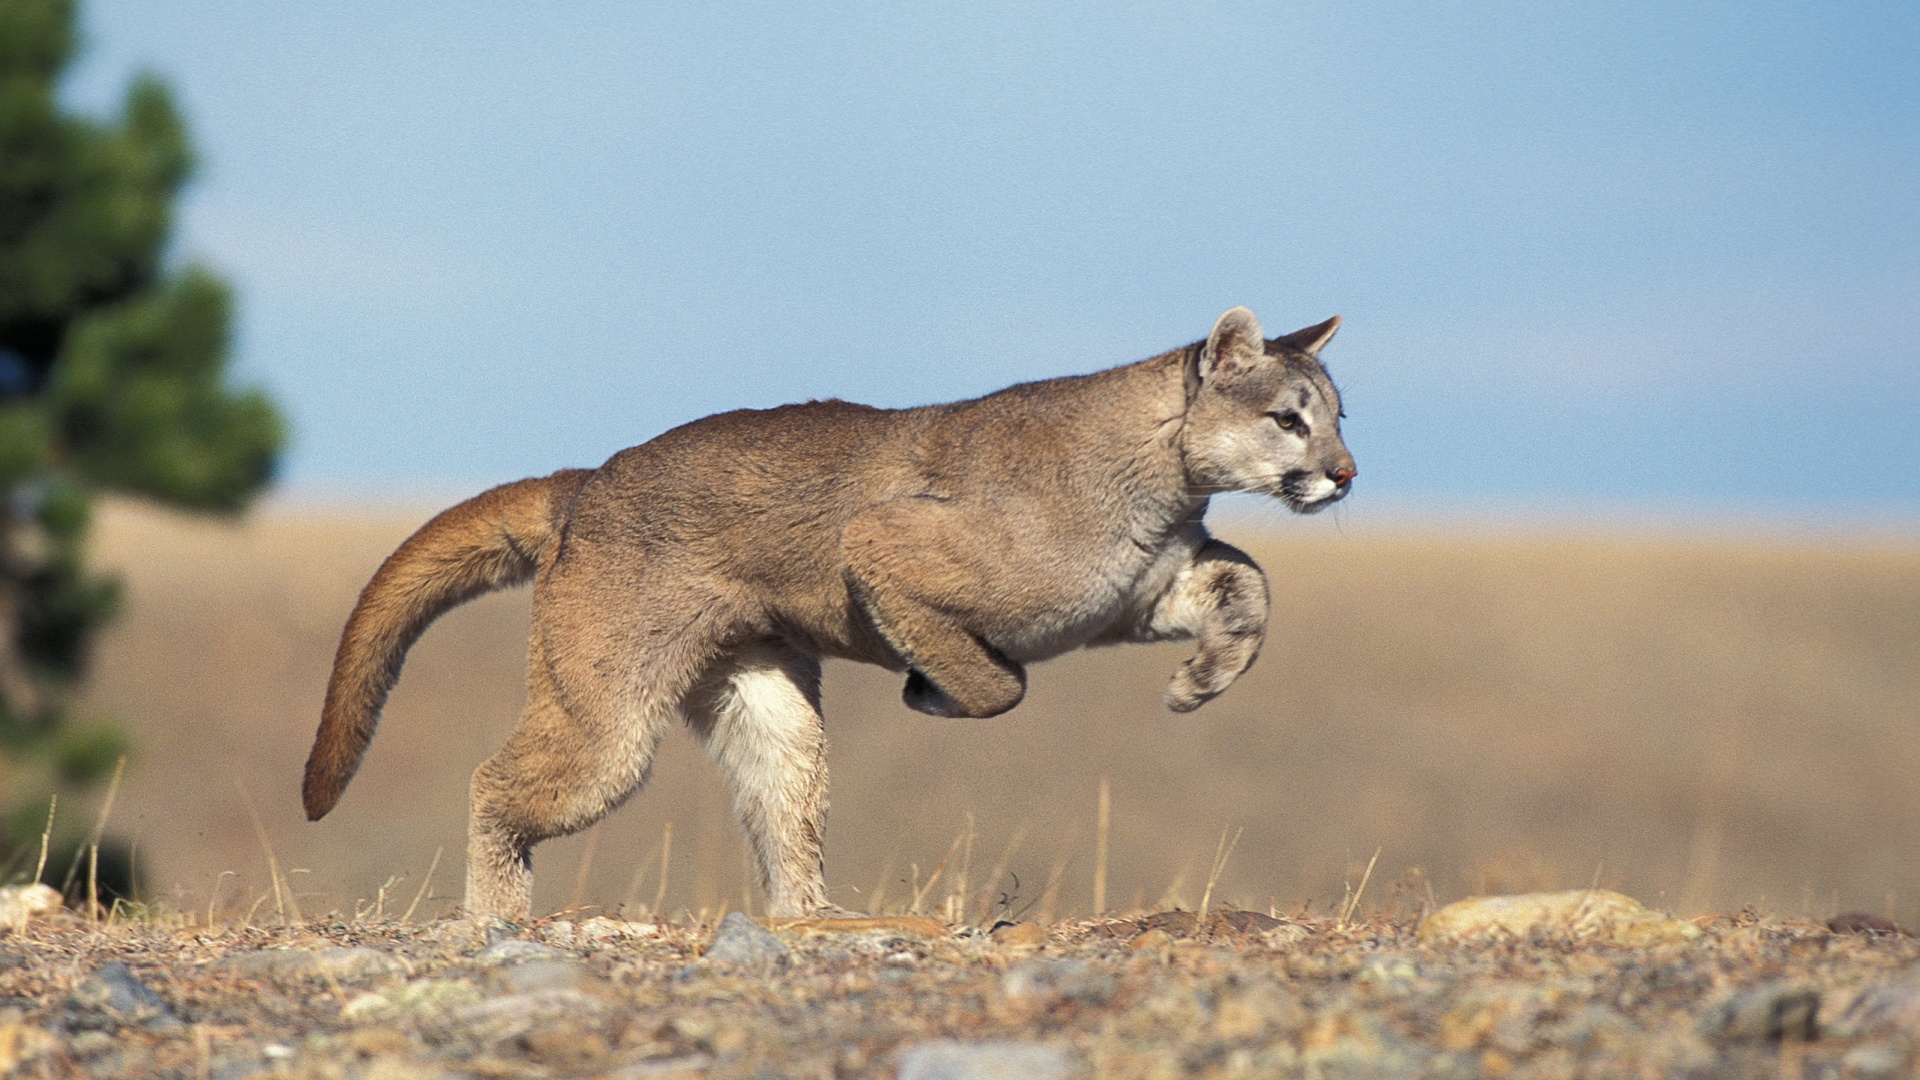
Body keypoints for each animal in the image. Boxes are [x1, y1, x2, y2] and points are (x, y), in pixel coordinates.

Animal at [303, 303, 1351, 914]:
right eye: (1288, 419)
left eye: (1340, 417)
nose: (1345, 474)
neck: (1163, 478)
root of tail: (586, 480)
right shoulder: (880, 544)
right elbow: (1003, 683)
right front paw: (932, 689)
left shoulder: (1140, 597)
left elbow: (1251, 584)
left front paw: (1201, 682)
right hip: (608, 717)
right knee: (497, 785)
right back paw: (498, 921)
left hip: (765, 701)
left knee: (782, 810)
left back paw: (810, 919)